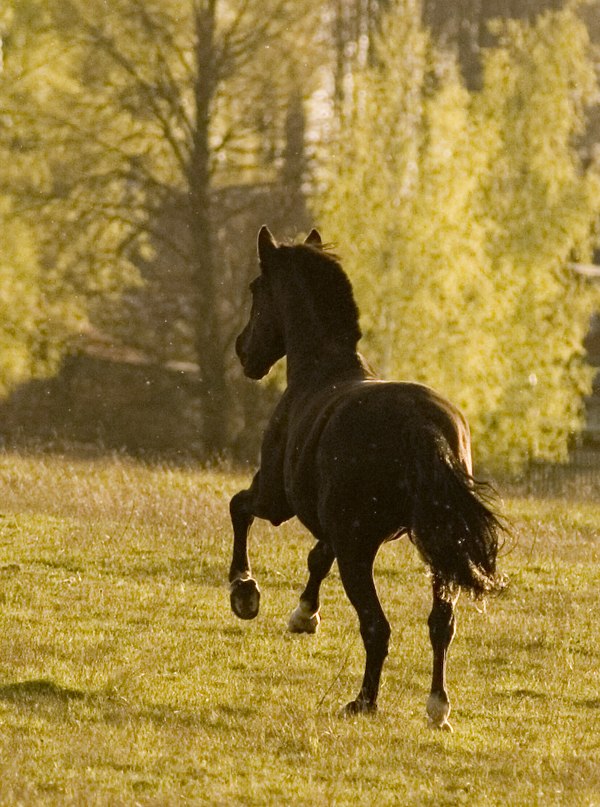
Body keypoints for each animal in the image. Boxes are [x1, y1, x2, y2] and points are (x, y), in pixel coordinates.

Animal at [227, 224, 504, 728]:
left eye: (257, 289)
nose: (243, 351)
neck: (321, 372)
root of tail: (422, 425)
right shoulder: (334, 527)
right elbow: (317, 557)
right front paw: (304, 614)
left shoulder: (277, 500)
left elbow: (239, 508)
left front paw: (244, 591)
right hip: (438, 548)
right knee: (441, 624)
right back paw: (437, 707)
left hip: (360, 550)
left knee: (377, 625)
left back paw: (363, 701)